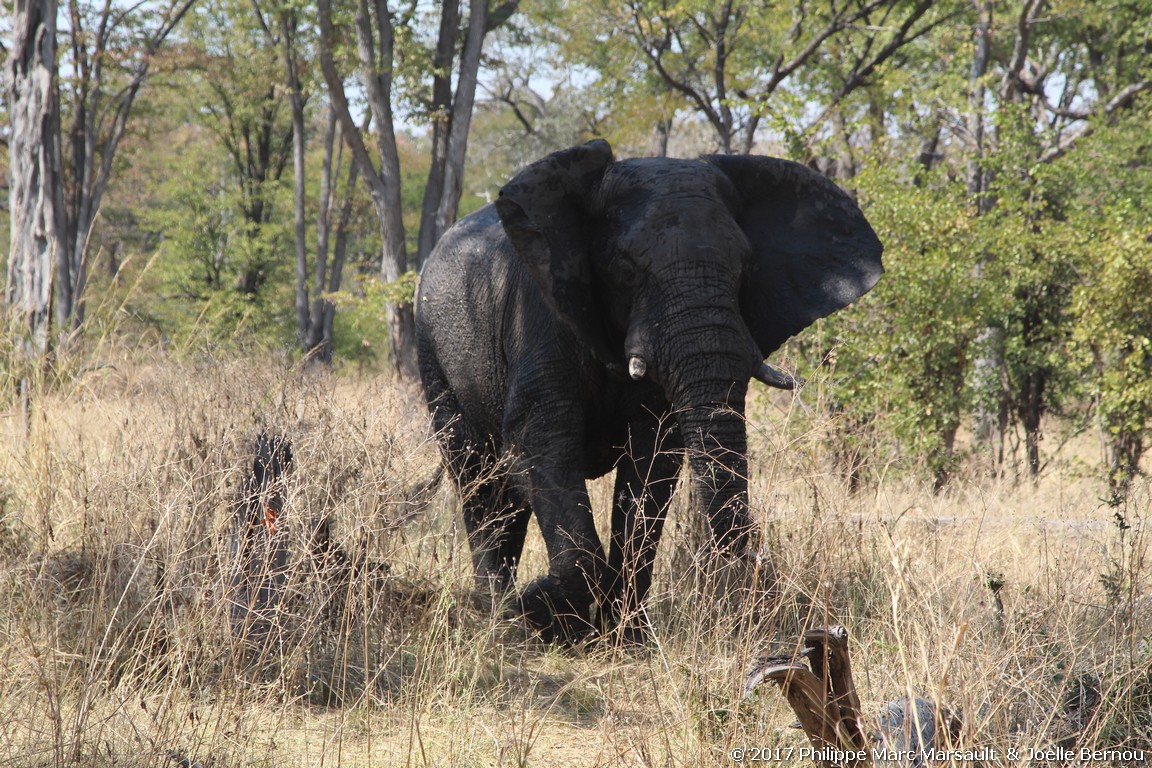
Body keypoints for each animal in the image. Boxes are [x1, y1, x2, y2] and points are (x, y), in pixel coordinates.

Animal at [414, 139, 880, 644]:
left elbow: (652, 469)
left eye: (745, 268)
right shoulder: (540, 315)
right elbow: (537, 446)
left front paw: (625, 638)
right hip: (432, 349)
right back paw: (500, 622)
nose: (755, 570)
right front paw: (543, 613)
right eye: (625, 270)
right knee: (478, 479)